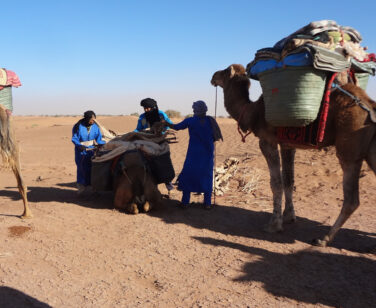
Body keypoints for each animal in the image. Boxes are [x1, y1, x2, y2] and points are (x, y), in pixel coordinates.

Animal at [212, 63, 376, 247]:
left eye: (224, 71)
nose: (213, 76)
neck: (253, 112)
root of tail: (370, 107)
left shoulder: (267, 141)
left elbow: (276, 183)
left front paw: (274, 225)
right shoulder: (288, 145)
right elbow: (289, 181)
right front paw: (289, 216)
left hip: (349, 149)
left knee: (351, 199)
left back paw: (324, 238)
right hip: (370, 150)